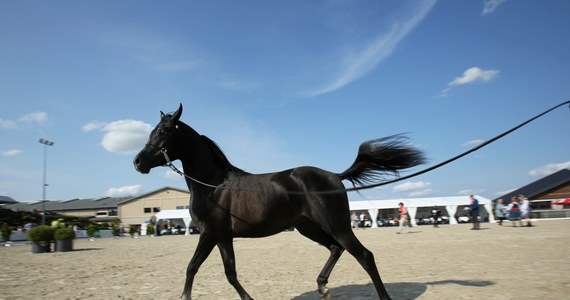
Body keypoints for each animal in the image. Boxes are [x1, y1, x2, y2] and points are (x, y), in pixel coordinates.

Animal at [134, 104, 422, 298]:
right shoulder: (223, 237)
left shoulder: (209, 234)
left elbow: (192, 267)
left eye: (164, 130)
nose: (138, 162)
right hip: (308, 227)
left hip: (337, 225)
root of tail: (334, 176)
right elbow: (230, 273)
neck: (212, 184)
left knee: (364, 255)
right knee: (335, 249)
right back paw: (322, 286)